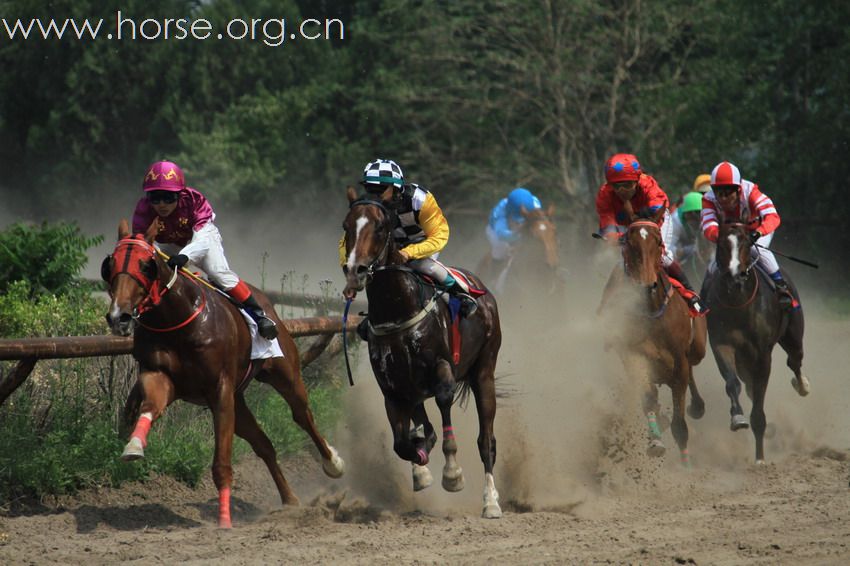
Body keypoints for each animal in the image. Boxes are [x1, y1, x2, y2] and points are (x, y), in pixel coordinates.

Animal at [104, 221, 342, 528]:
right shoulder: (160, 375)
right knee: (264, 445)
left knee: (303, 416)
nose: (118, 317)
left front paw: (225, 520)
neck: (178, 320)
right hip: (238, 402)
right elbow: (150, 406)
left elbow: (221, 463)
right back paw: (290, 500)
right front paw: (133, 445)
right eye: (110, 265)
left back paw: (332, 462)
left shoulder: (220, 389)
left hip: (284, 375)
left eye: (145, 265)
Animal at [342, 186, 504, 520]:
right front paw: (421, 462)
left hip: (484, 372)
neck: (398, 308)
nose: (355, 271)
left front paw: (452, 474)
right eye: (346, 226)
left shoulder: (442, 368)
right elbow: (404, 442)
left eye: (381, 226)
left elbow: (443, 403)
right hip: (415, 386)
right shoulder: (392, 388)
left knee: (486, 440)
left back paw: (491, 501)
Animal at [600, 220, 704, 464]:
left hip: (698, 349)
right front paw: (655, 441)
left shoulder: (679, 361)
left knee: (692, 369)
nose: (647, 285)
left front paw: (686, 463)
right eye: (630, 243)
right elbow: (648, 398)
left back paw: (697, 406)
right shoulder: (634, 355)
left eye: (657, 243)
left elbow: (680, 422)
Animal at [704, 220, 808, 464]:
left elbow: (759, 406)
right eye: (721, 244)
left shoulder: (762, 355)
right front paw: (738, 418)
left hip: (793, 335)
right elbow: (732, 382)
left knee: (794, 361)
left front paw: (760, 458)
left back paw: (802, 385)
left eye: (745, 242)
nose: (736, 276)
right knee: (748, 384)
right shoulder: (722, 344)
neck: (739, 302)